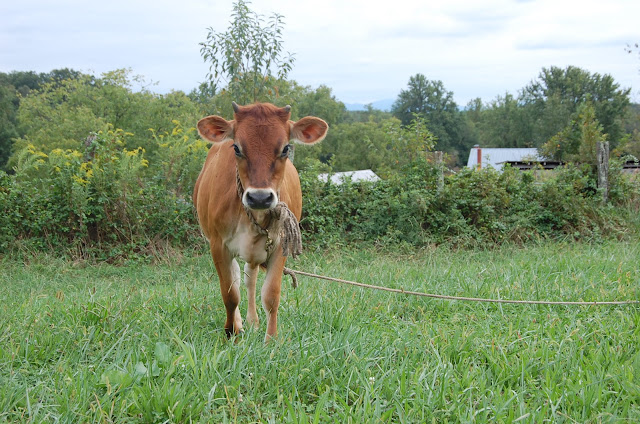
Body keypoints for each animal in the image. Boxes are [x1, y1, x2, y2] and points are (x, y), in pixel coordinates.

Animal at [193, 102, 328, 341]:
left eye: (285, 148)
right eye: (236, 148)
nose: (259, 197)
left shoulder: (281, 245)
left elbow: (271, 295)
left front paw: (271, 339)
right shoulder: (218, 245)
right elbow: (230, 294)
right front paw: (231, 331)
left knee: (250, 279)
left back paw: (254, 322)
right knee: (239, 279)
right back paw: (240, 324)